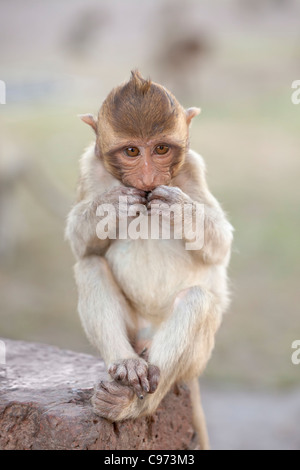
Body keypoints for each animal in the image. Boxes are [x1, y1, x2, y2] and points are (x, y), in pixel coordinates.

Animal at [65, 70, 233, 452]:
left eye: (160, 149)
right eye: (131, 151)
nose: (147, 179)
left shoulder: (193, 168)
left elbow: (220, 244)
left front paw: (181, 210)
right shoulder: (88, 167)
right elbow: (81, 247)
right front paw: (111, 205)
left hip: (196, 358)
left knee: (197, 300)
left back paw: (133, 403)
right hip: (133, 331)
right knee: (89, 266)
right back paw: (126, 369)